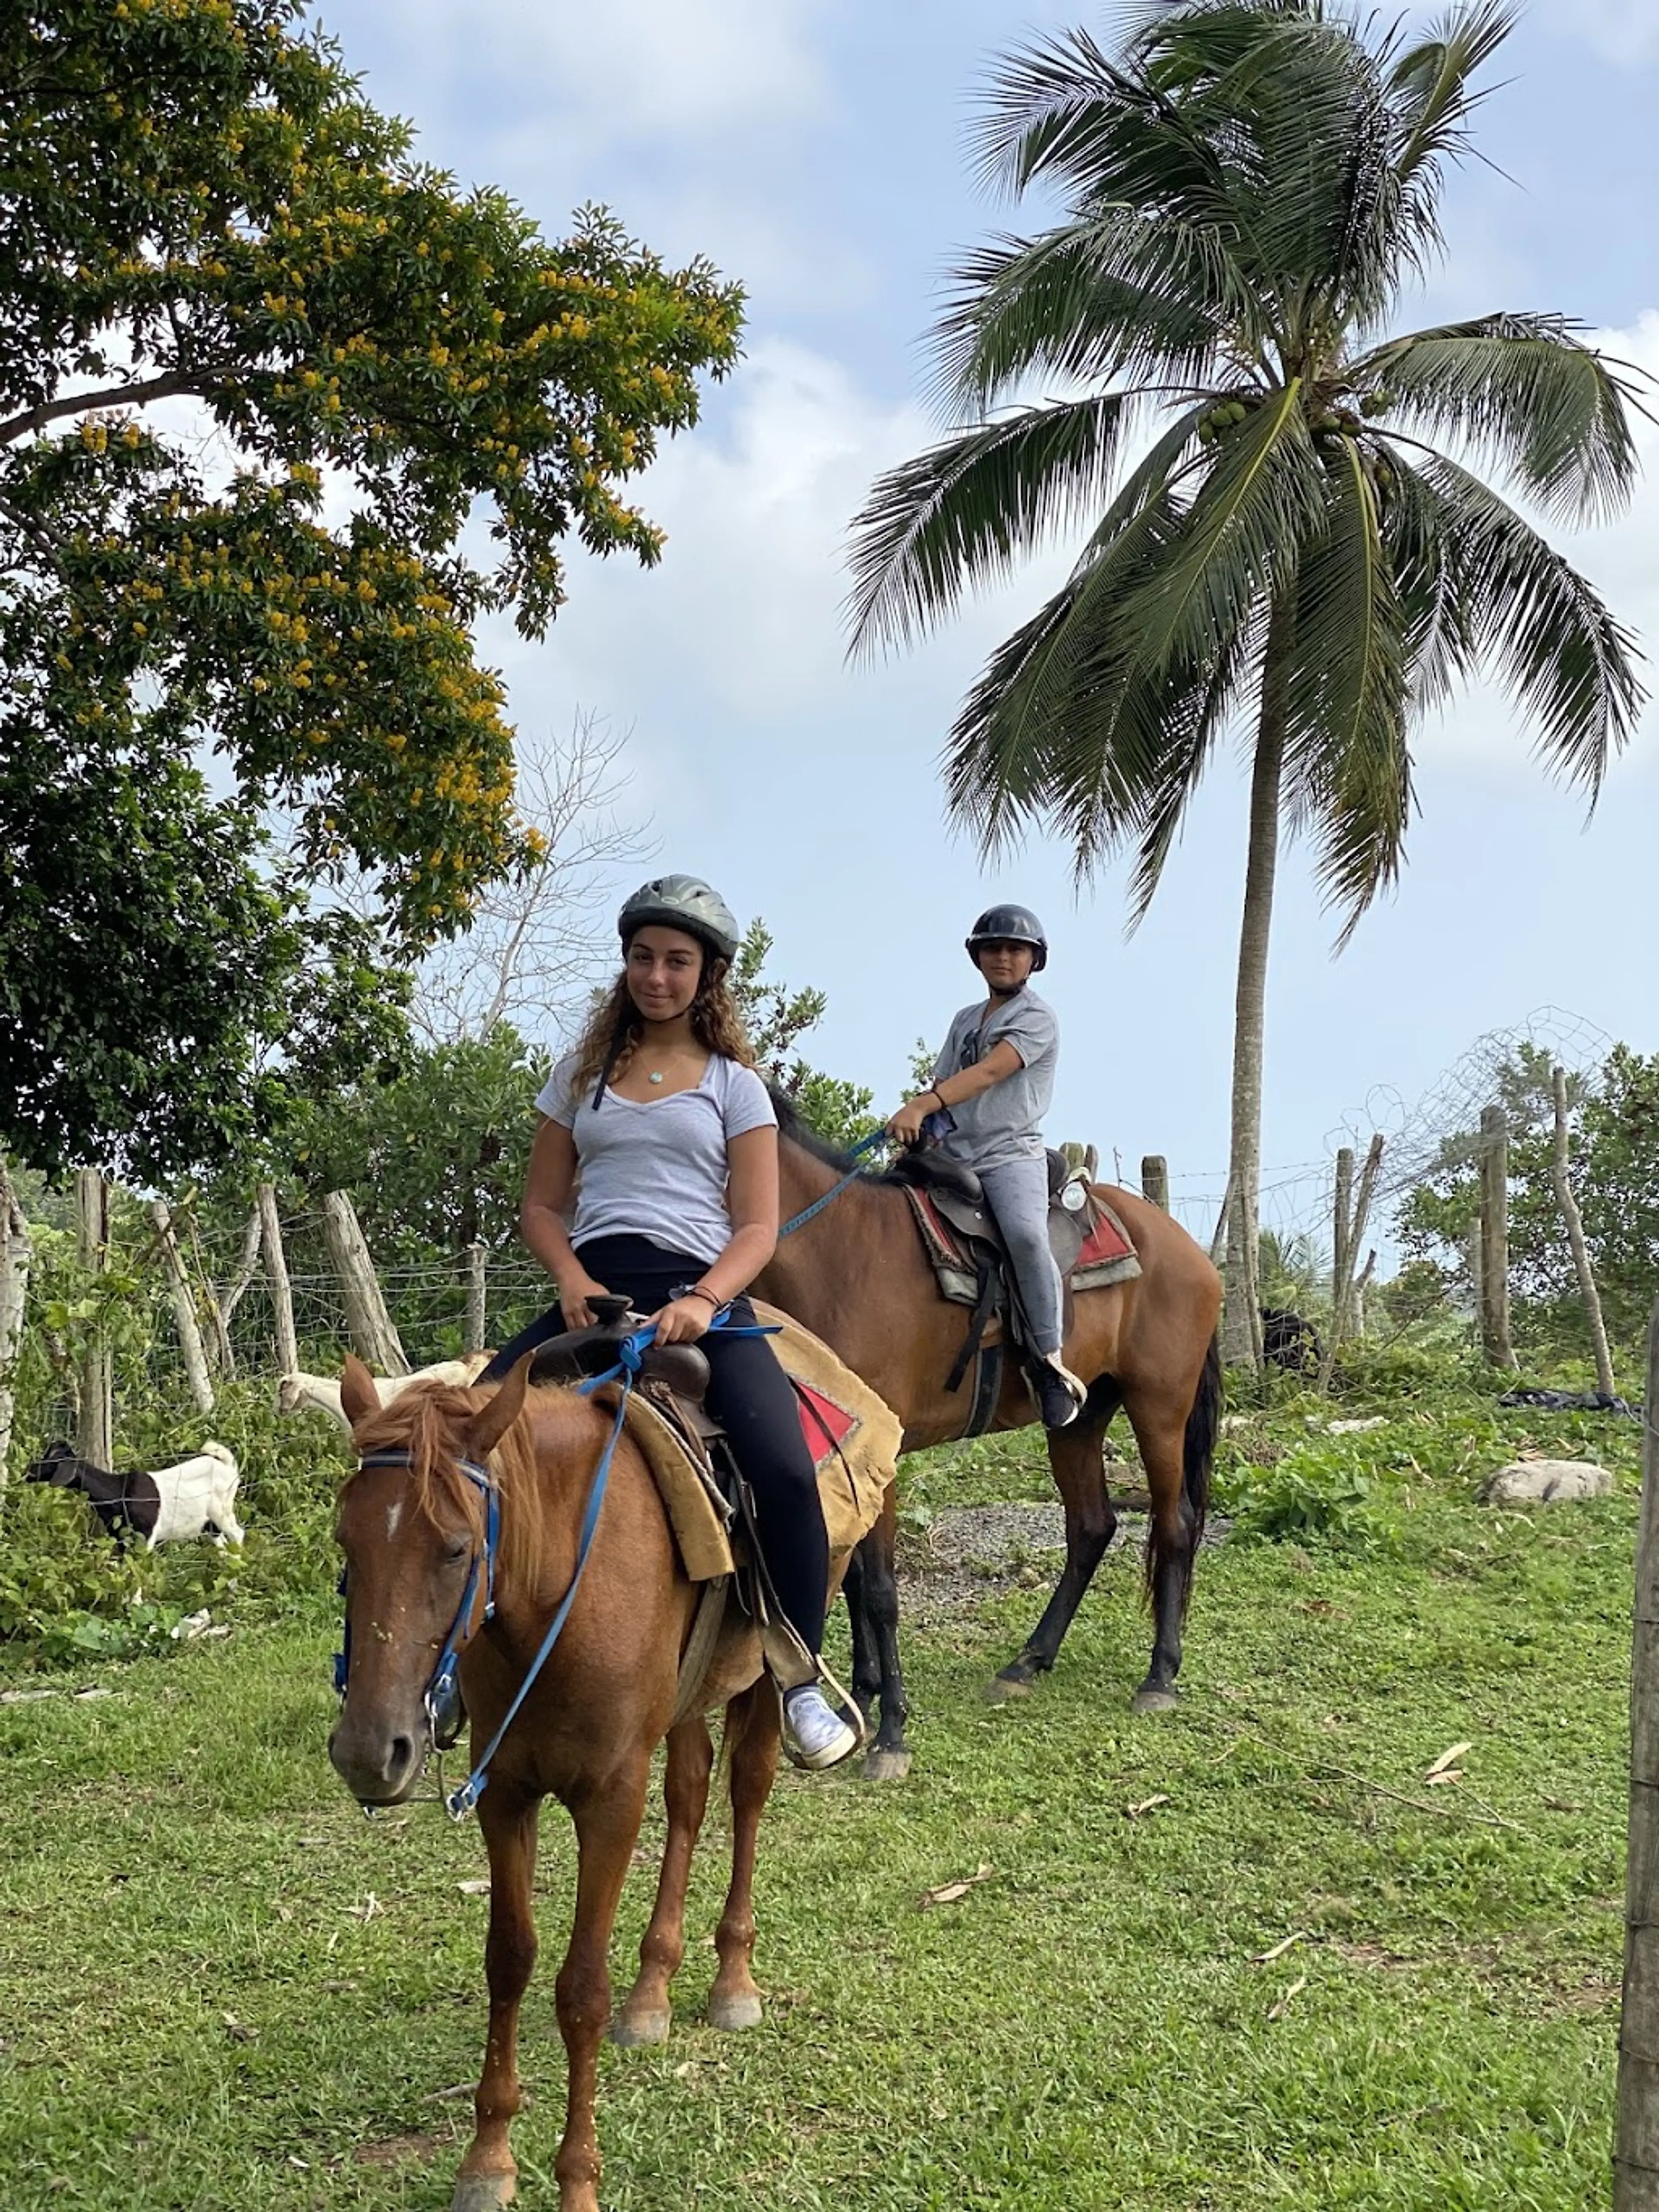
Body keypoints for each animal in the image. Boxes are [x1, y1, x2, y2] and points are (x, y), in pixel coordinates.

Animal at [334, 1345, 791, 2212]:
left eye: (455, 1547)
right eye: (345, 1543)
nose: (370, 1752)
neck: (551, 1600)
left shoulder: (609, 1800)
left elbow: (580, 1989)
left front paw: (577, 2178)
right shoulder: (506, 1792)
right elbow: (508, 1959)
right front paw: (487, 2157)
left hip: (765, 1676)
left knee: (747, 1791)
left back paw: (734, 1977)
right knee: (690, 1789)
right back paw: (653, 1987)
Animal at [761, 1106, 1230, 1778]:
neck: (837, 1253)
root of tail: (1187, 1248)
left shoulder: (884, 1453)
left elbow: (879, 1590)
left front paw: (892, 1733)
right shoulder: (855, 1454)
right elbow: (855, 1581)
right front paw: (865, 1698)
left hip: (1160, 1407)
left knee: (1175, 1523)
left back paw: (1159, 1676)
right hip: (1079, 1418)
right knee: (1092, 1526)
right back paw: (1027, 1661)